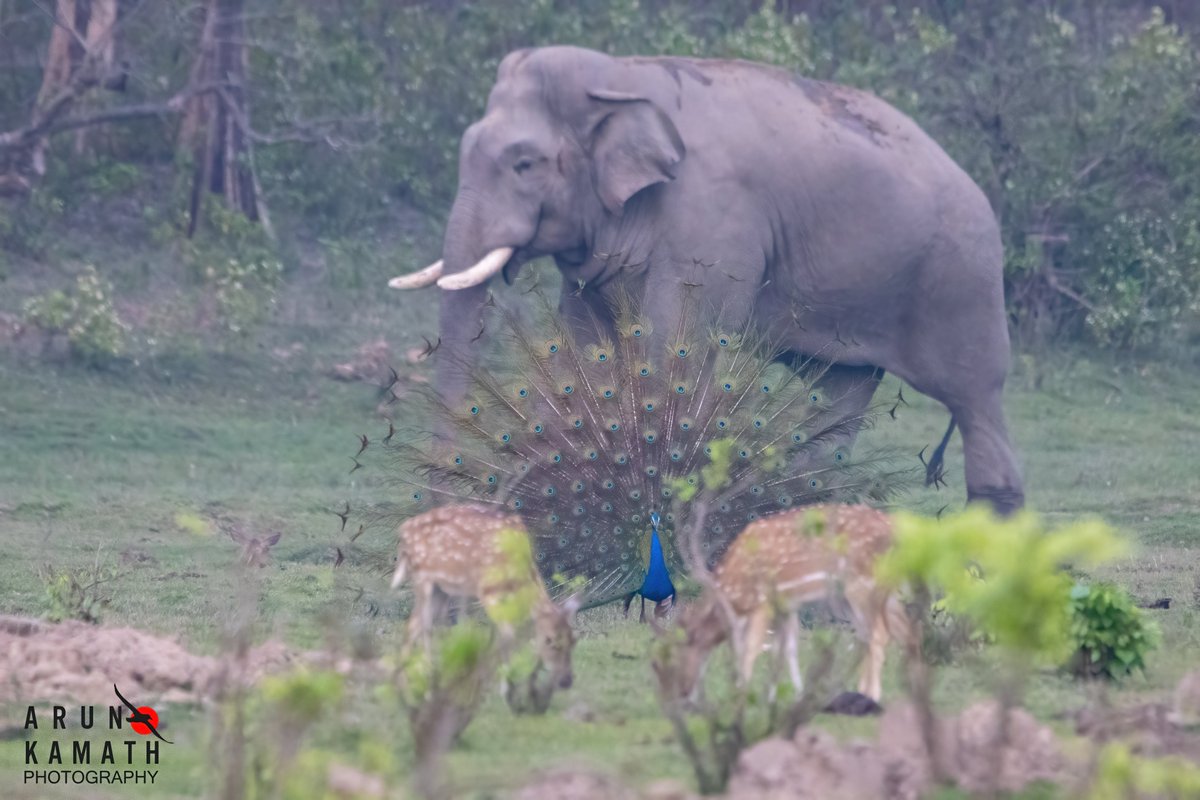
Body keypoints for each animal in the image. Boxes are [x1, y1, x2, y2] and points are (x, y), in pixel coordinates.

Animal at [388, 47, 1027, 515]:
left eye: (524, 164)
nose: (438, 499)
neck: (619, 76)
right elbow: (586, 346)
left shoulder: (715, 223)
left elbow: (676, 344)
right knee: (836, 404)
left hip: (962, 280)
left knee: (977, 399)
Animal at [391, 506, 578, 690]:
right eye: (550, 640)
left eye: (573, 640)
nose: (566, 681)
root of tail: (403, 531)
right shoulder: (489, 591)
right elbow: (508, 634)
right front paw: (504, 686)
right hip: (422, 578)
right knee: (425, 627)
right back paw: (427, 682)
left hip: (441, 590)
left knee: (413, 625)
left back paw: (407, 683)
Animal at [681, 503, 912, 705]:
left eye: (689, 639)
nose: (685, 693)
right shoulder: (786, 605)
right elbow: (785, 649)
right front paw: (781, 697)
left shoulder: (764, 602)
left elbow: (751, 648)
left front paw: (741, 697)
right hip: (875, 592)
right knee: (897, 632)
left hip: (862, 584)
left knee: (878, 634)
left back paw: (871, 696)